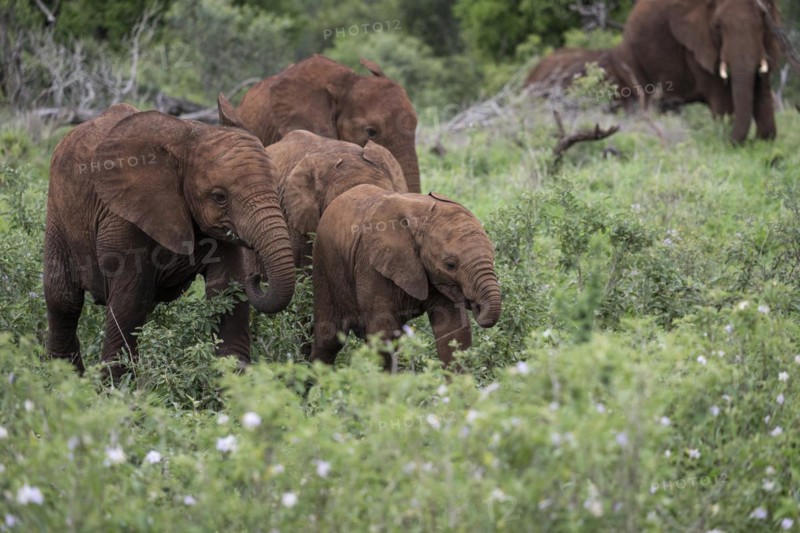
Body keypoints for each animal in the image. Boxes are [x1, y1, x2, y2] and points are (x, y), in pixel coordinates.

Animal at [44, 104, 296, 381]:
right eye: (219, 197)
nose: (257, 276)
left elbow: (227, 294)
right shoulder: (123, 215)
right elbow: (130, 300)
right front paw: (116, 388)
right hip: (58, 212)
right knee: (63, 300)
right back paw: (62, 380)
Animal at [310, 184, 502, 370]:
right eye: (450, 265)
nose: (475, 304)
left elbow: (454, 331)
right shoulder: (370, 265)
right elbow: (383, 335)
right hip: (323, 265)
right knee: (328, 340)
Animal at [619, 0, 781, 142]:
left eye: (763, 21)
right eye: (717, 26)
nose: (732, 141)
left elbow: (762, 88)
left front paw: (763, 141)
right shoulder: (696, 45)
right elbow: (720, 95)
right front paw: (725, 139)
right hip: (633, 58)